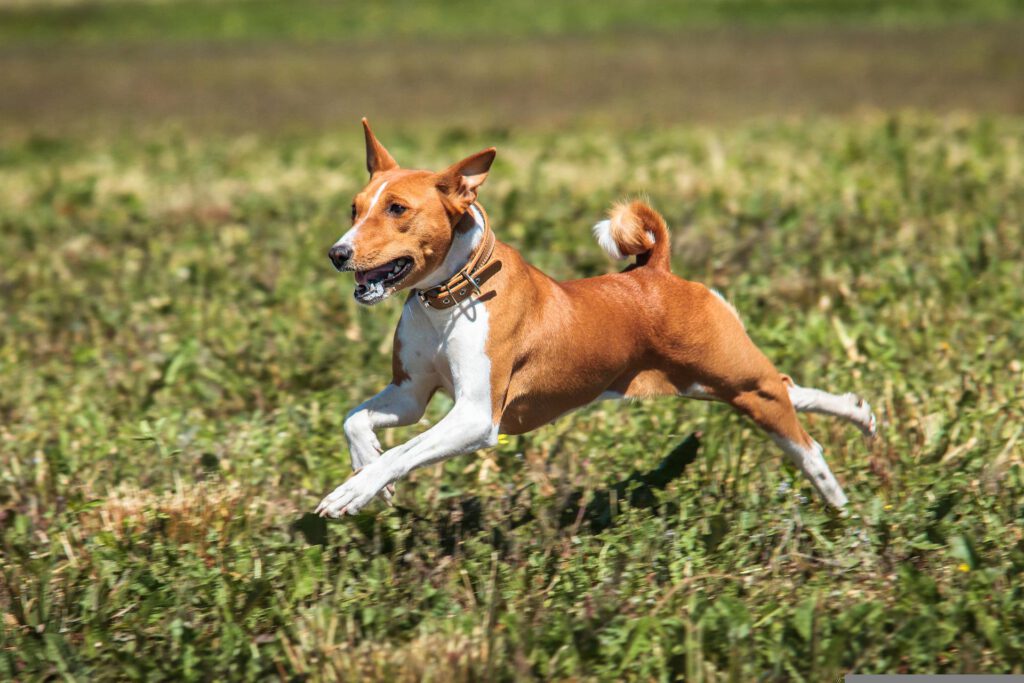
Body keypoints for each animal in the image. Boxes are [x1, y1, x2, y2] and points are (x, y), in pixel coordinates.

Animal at [315, 120, 876, 518]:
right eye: (354, 208)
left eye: (397, 209)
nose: (337, 254)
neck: (448, 301)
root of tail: (656, 270)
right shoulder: (410, 394)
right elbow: (356, 421)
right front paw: (369, 475)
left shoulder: (476, 415)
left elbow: (402, 452)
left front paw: (354, 491)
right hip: (711, 383)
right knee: (789, 387)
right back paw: (858, 411)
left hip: (735, 380)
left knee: (802, 438)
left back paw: (837, 502)